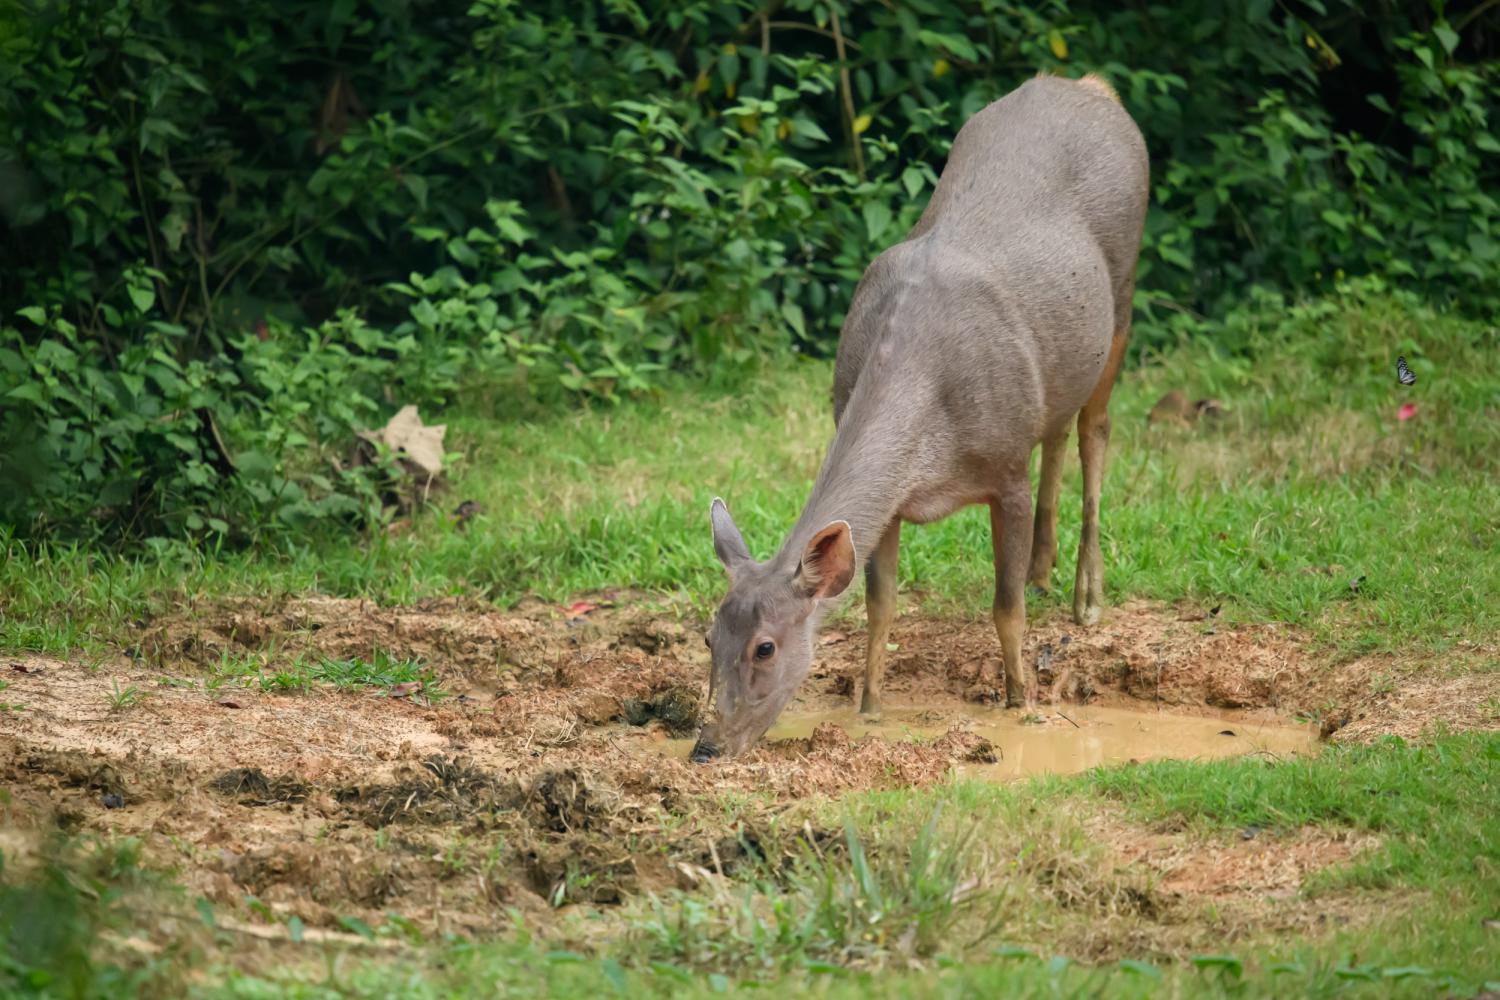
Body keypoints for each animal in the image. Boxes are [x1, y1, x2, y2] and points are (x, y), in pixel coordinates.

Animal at [690, 74, 1146, 761]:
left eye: (764, 646)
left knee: (1095, 429)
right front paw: (870, 709)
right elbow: (881, 605)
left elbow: (1004, 607)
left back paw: (1086, 596)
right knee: (1059, 427)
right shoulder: (894, 503)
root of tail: (1094, 87)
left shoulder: (1005, 466)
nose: (707, 746)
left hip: (1123, 287)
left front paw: (1021, 704)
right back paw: (1044, 570)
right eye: (708, 637)